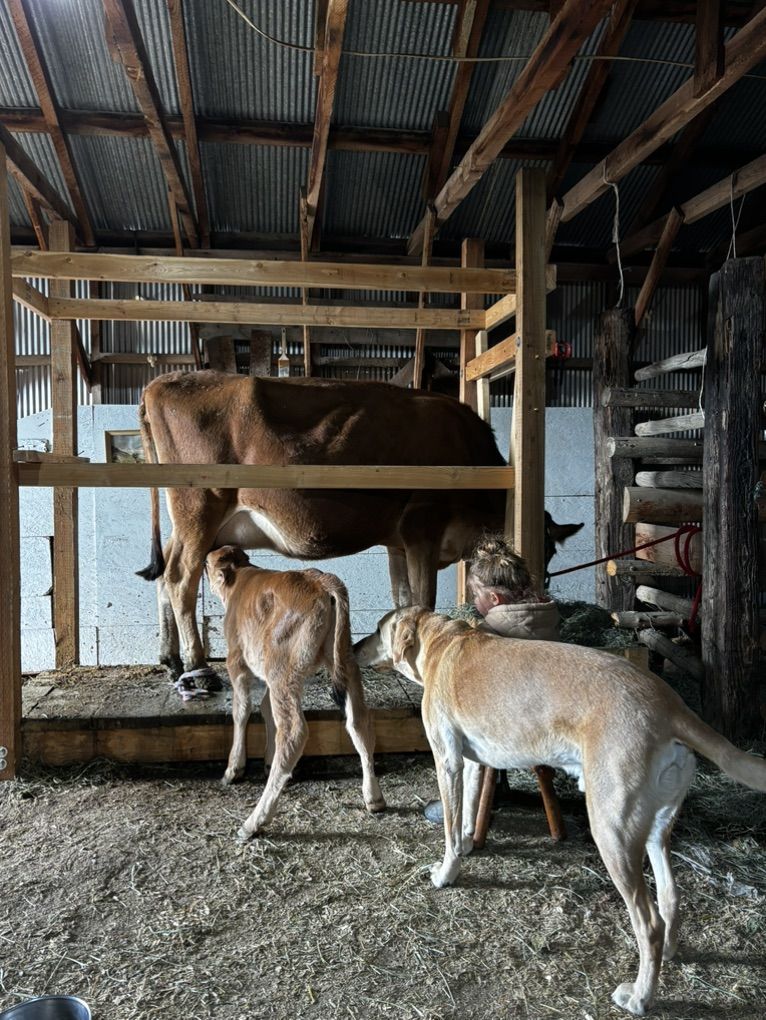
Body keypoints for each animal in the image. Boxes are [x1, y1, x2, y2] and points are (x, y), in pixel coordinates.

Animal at [137, 371, 578, 689]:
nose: (541, 596)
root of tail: (163, 381)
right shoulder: (423, 526)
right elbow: (424, 597)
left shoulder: (399, 542)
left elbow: (403, 597)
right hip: (199, 504)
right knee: (180, 579)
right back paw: (198, 668)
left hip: (191, 520)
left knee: (165, 575)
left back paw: (171, 661)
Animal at [206, 546, 385, 837]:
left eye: (207, 564)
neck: (240, 579)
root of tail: (320, 579)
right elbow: (266, 710)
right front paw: (268, 762)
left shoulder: (236, 662)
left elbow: (242, 711)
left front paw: (234, 769)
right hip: (343, 660)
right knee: (359, 722)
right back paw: (374, 798)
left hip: (282, 669)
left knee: (293, 731)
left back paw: (254, 821)